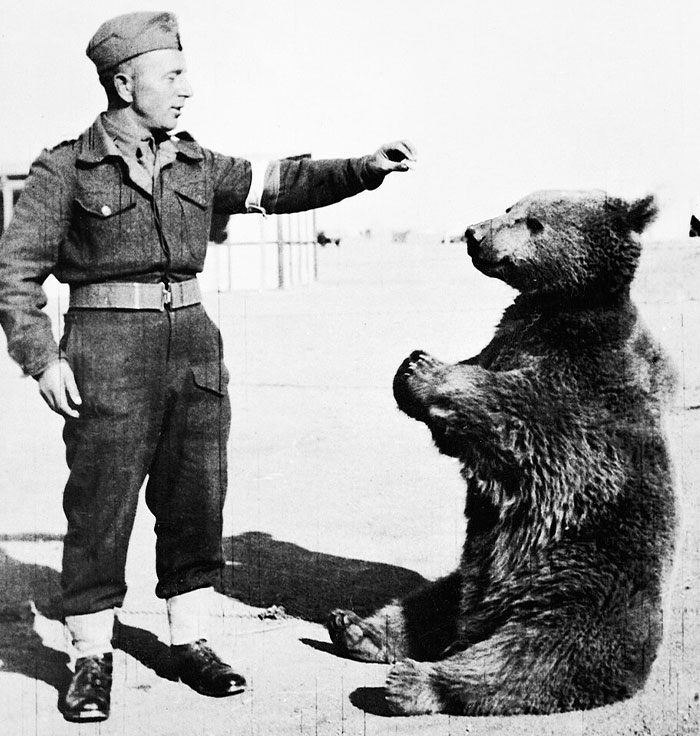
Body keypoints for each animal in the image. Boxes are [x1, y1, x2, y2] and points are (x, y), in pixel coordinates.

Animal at [327, 190, 677, 716]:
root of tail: (482, 619)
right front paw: (410, 365)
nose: (474, 232)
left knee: (528, 657)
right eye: (511, 206)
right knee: (426, 604)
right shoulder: (507, 339)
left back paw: (413, 682)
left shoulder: (580, 378)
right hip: (468, 575)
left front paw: (425, 368)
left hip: (577, 592)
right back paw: (355, 628)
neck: (558, 306)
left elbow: (513, 412)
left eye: (533, 221)